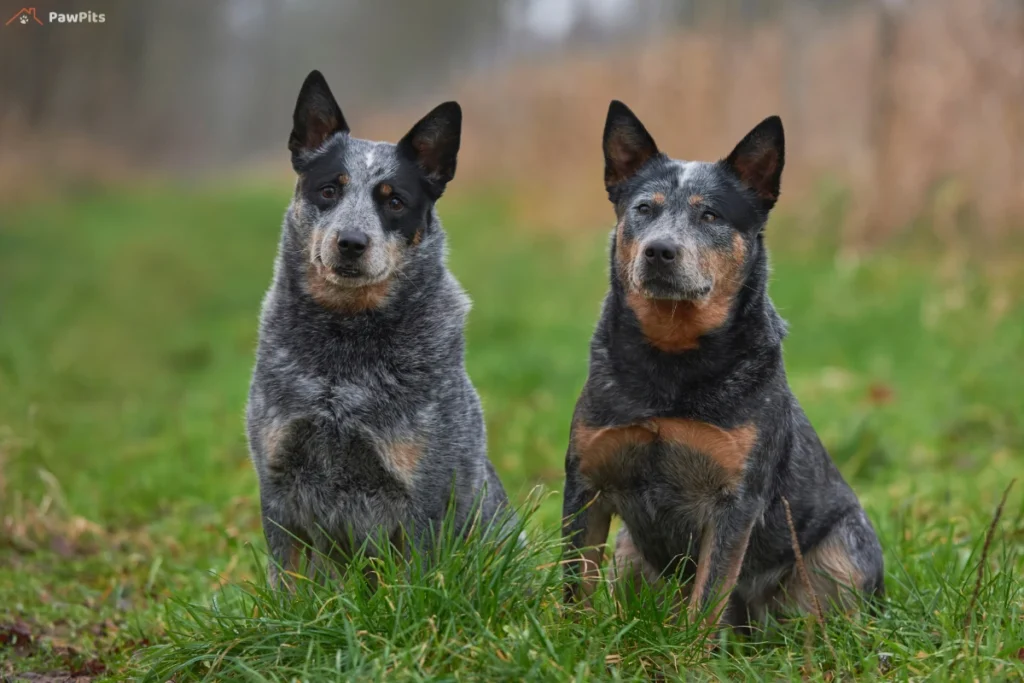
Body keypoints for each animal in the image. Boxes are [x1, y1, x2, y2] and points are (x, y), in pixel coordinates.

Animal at [244, 68, 516, 581]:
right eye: (329, 189)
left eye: (394, 201)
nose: (351, 241)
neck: (344, 345)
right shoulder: (278, 485)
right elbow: (286, 581)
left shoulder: (421, 497)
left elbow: (413, 582)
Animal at [557, 100, 884, 630]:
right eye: (643, 209)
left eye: (709, 214)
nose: (659, 250)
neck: (672, 361)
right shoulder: (586, 479)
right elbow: (573, 584)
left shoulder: (735, 502)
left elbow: (708, 598)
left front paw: (691, 648)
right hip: (628, 554)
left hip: (844, 554)